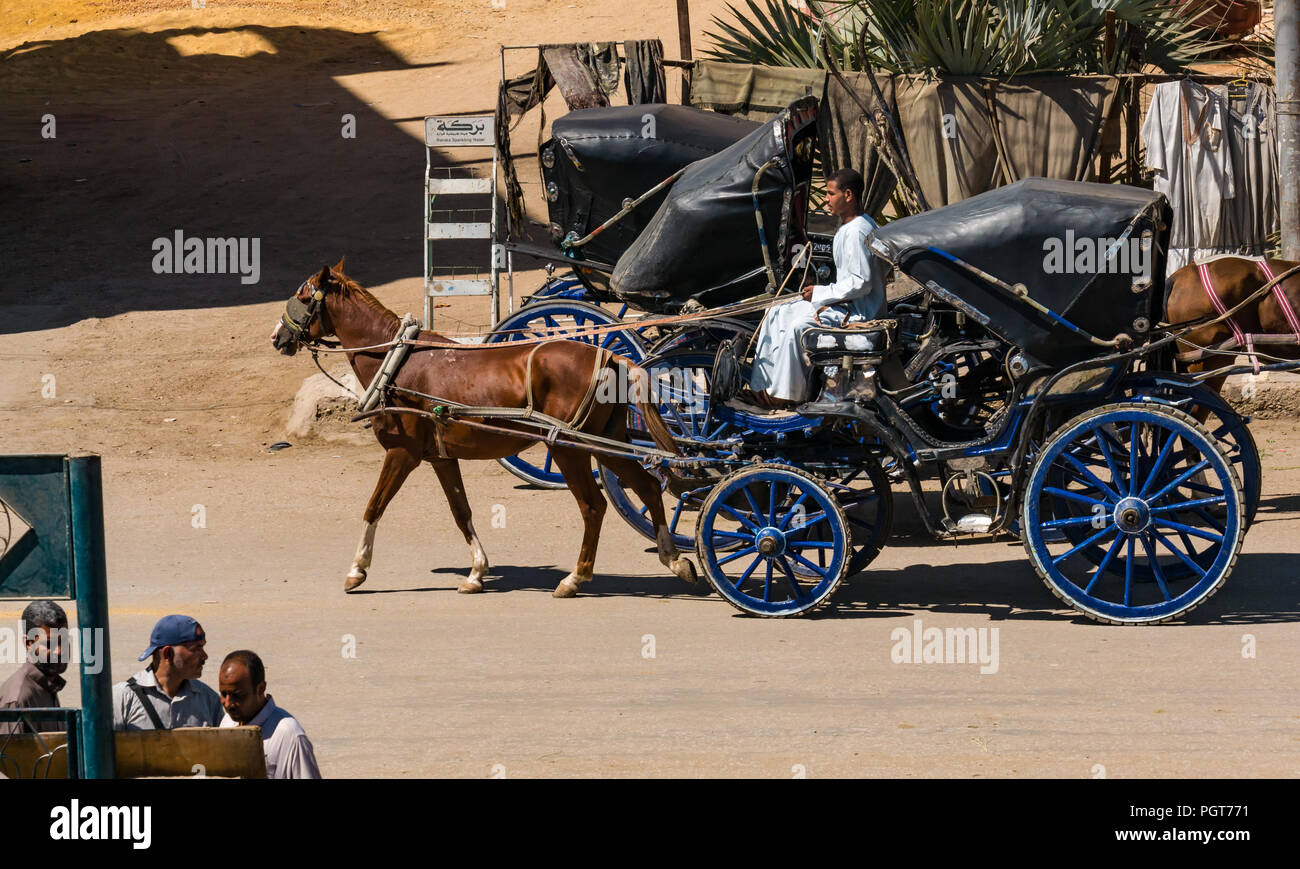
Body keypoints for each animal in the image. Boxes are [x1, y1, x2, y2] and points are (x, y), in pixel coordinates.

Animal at [269, 257, 702, 598]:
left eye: (303, 296)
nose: (277, 336)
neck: (397, 362)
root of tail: (612, 356)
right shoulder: (440, 457)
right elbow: (461, 511)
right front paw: (477, 572)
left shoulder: (402, 452)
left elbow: (374, 506)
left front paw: (357, 569)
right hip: (605, 441)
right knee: (647, 487)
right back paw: (674, 560)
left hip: (567, 447)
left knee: (593, 506)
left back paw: (576, 578)